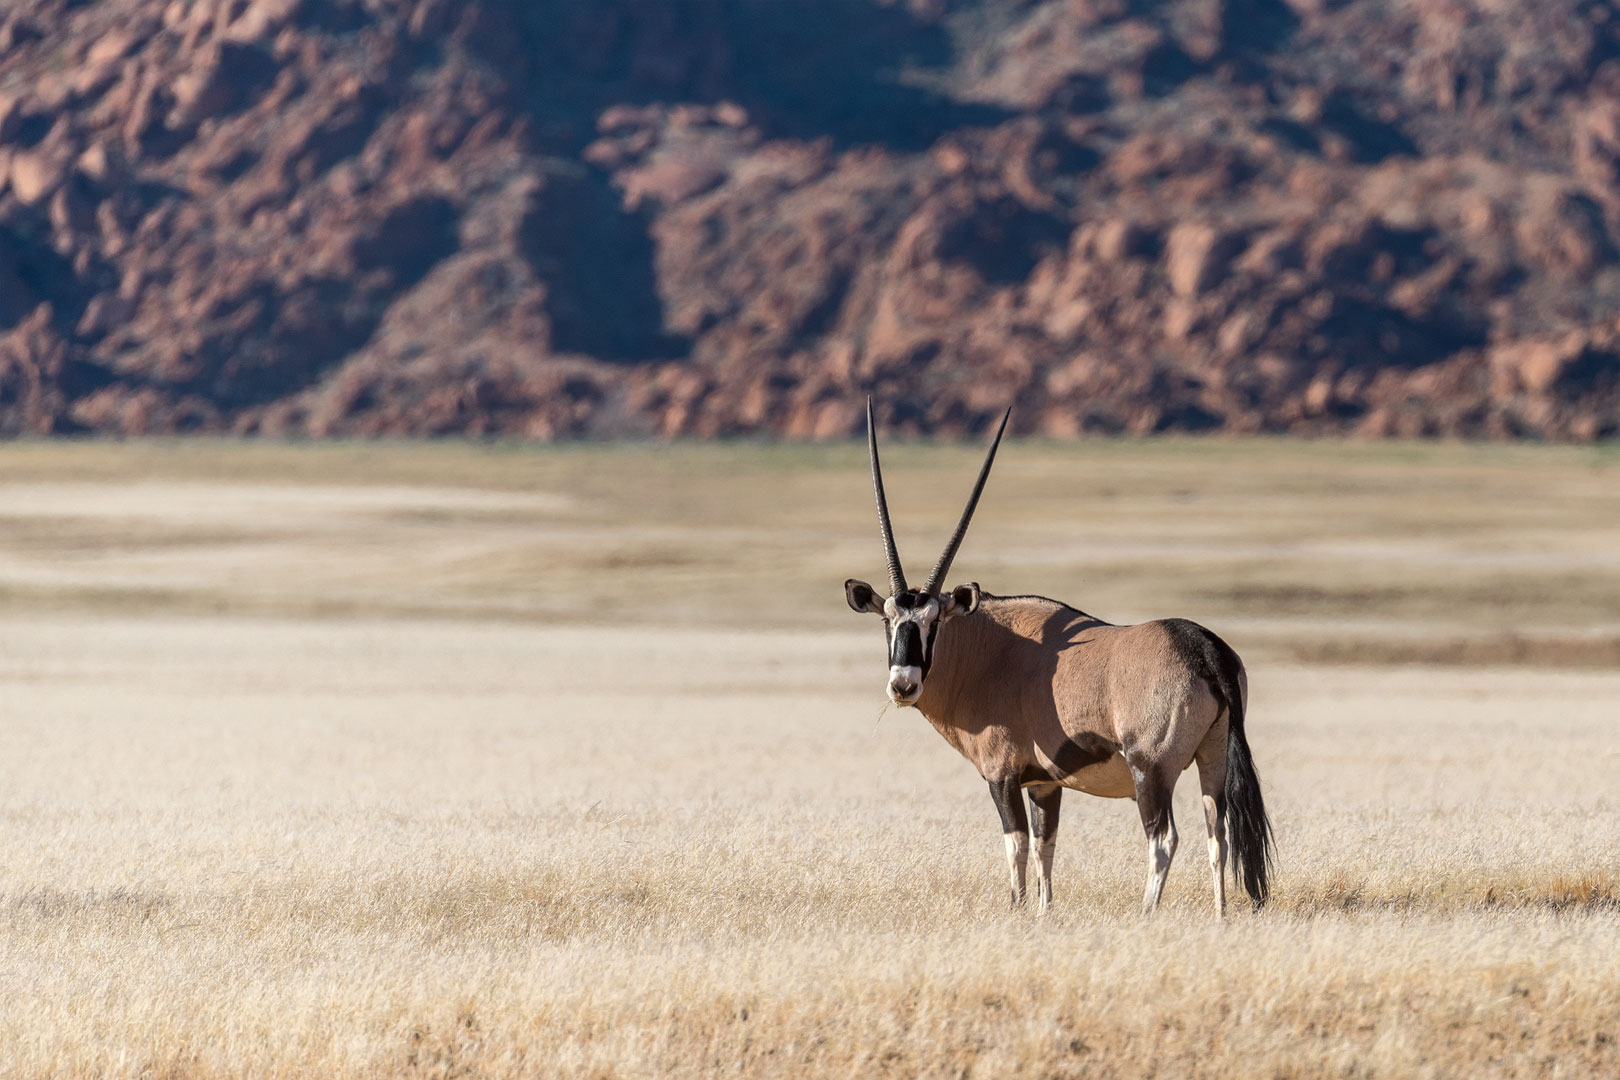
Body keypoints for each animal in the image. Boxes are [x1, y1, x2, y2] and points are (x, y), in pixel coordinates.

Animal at [842, 401, 1270, 919]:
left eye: (933, 621)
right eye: (888, 619)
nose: (903, 685)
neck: (992, 653)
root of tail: (1204, 648)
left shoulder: (1003, 776)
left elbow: (1017, 845)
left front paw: (1017, 910)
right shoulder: (1045, 783)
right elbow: (1047, 847)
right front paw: (1044, 913)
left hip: (1152, 769)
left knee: (1164, 839)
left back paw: (1146, 913)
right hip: (1212, 758)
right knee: (1218, 836)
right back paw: (1220, 918)